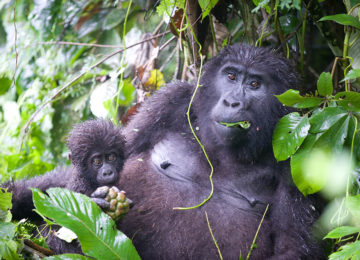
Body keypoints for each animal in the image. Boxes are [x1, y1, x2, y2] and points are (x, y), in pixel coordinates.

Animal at [107, 43, 324, 258]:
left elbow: (292, 247)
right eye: (231, 76)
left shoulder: (298, 158)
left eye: (255, 84)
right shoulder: (170, 99)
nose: (232, 102)